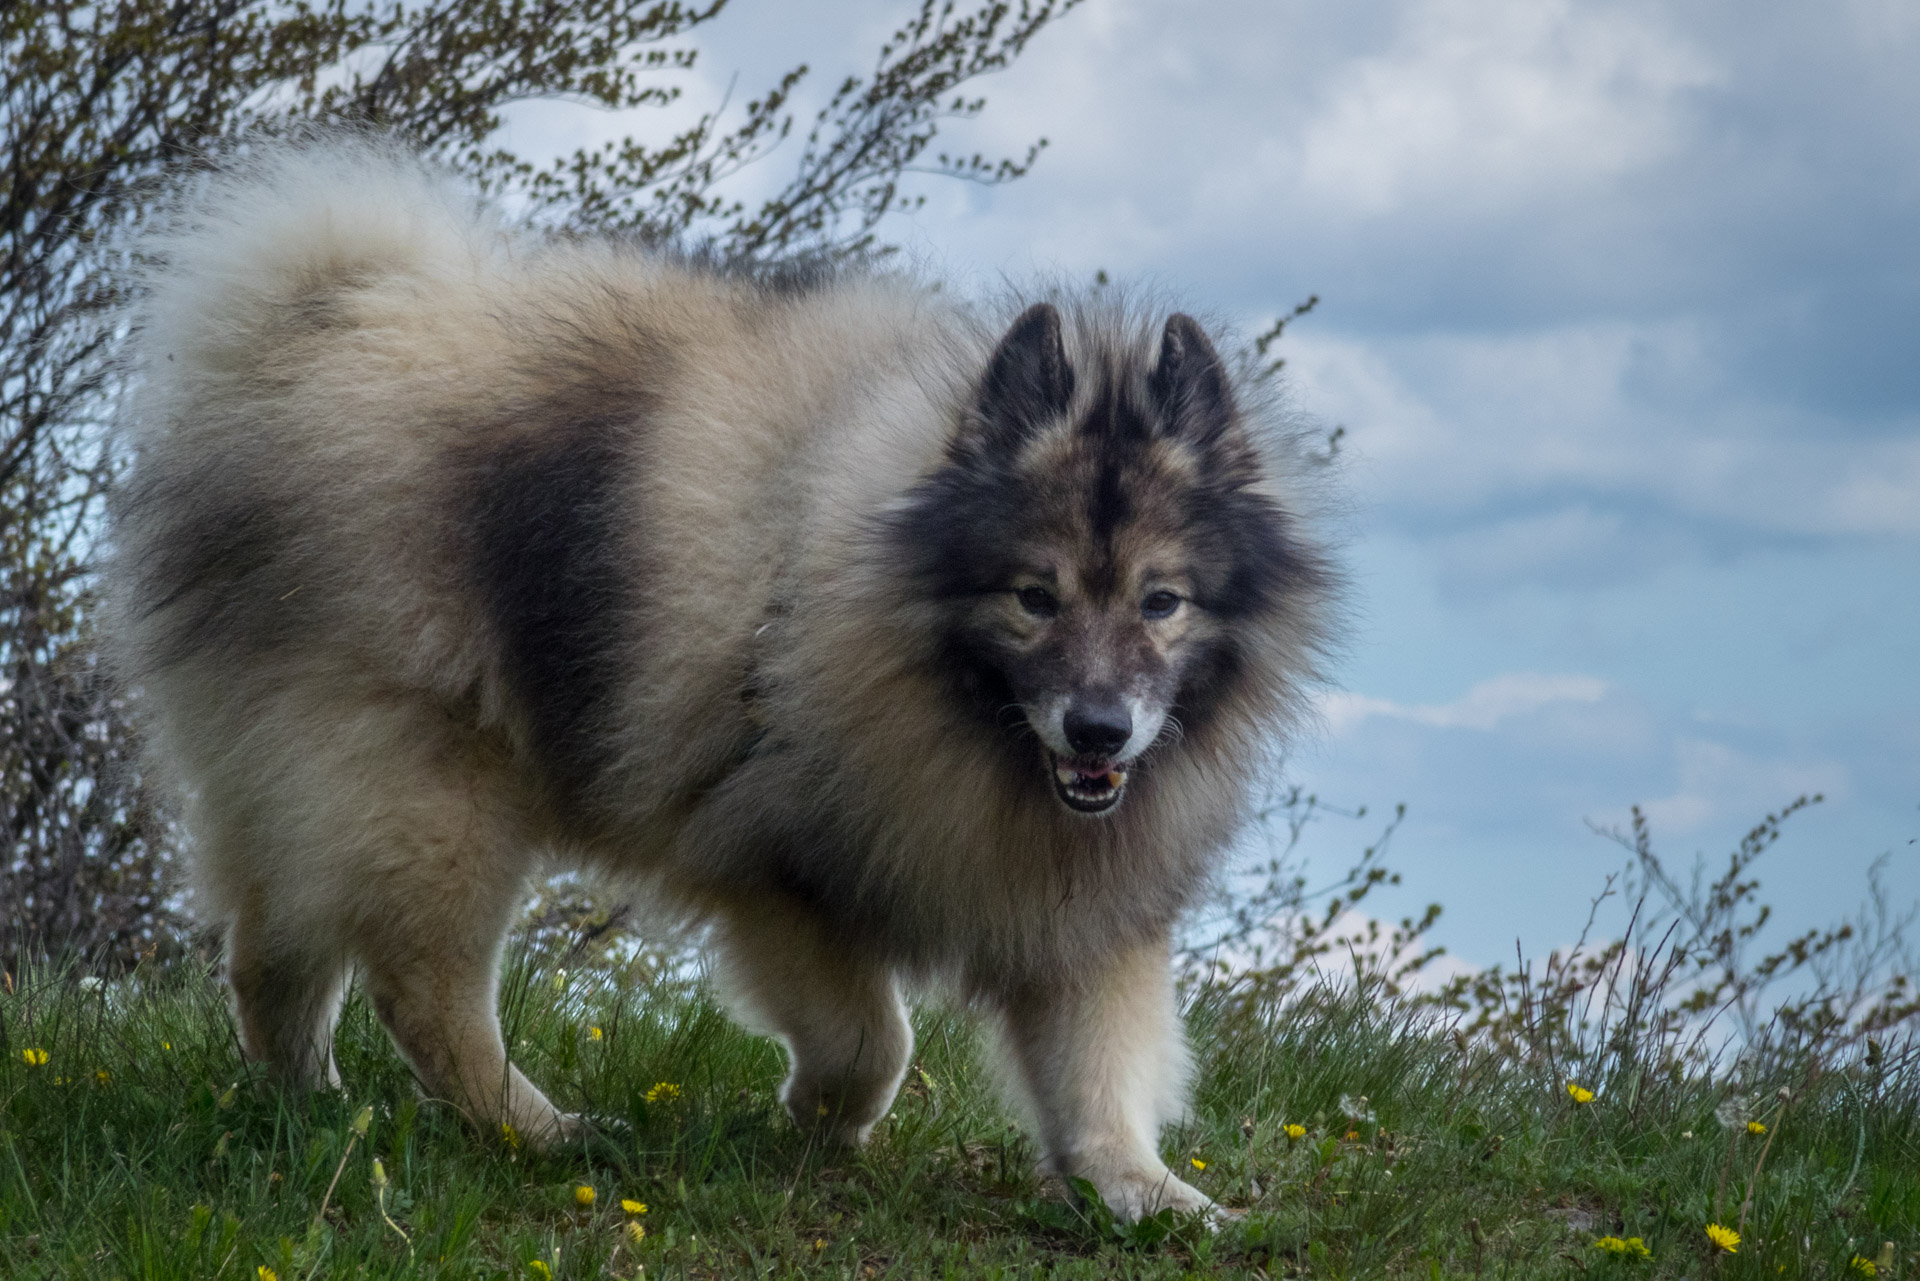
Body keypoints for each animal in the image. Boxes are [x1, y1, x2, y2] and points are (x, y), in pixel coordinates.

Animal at [105, 140, 1336, 1221]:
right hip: (430, 783)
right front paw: (819, 1123)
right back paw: (535, 1130)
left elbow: (1097, 1067)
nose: (1098, 729)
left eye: (1161, 602)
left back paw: (306, 1105)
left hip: (306, 777)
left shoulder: (1078, 906)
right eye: (1034, 597)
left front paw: (1141, 1190)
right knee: (422, 983)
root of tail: (308, 335)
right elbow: (874, 1042)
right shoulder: (780, 872)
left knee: (273, 948)